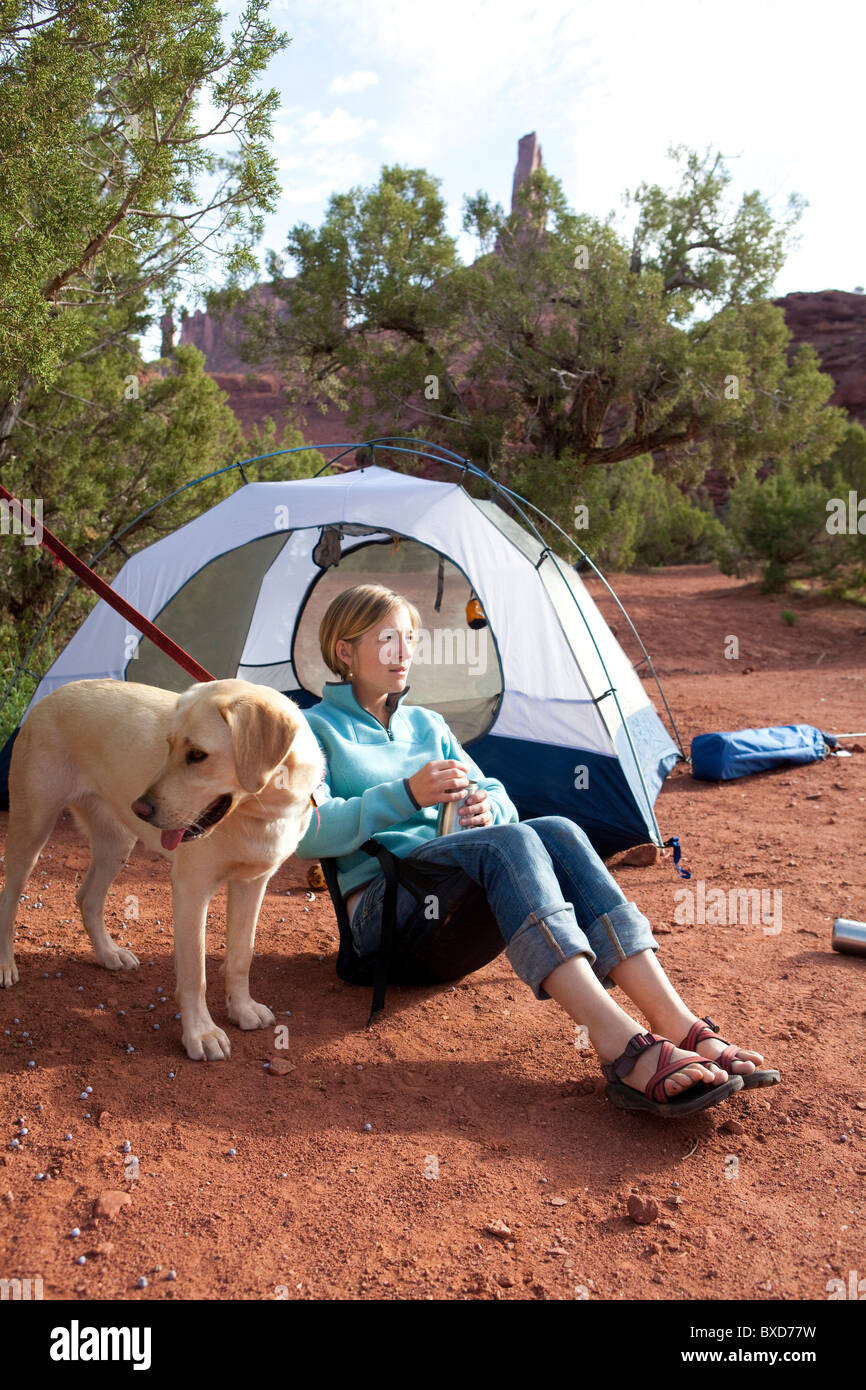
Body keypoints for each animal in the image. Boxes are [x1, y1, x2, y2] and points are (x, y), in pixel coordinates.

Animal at [0, 678, 323, 1056]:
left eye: (197, 755)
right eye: (168, 747)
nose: (140, 808)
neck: (262, 811)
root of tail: (56, 692)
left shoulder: (252, 883)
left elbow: (242, 955)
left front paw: (242, 1010)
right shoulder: (191, 889)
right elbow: (195, 972)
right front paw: (201, 1035)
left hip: (116, 844)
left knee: (87, 898)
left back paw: (108, 954)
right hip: (32, 829)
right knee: (8, 899)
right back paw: (5, 965)